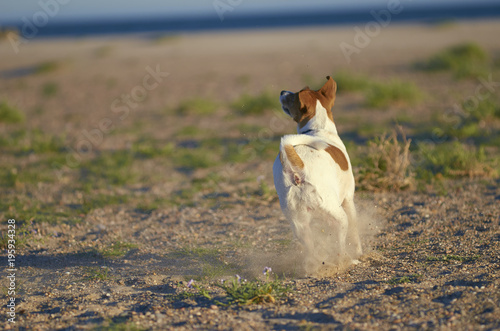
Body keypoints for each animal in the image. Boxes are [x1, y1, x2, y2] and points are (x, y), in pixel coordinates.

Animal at [274, 76, 364, 272]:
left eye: (292, 96)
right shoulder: (348, 200)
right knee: (340, 247)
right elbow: (355, 232)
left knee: (311, 251)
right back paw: (347, 261)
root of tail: (299, 171)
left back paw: (316, 266)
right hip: (338, 215)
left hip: (299, 224)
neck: (318, 130)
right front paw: (359, 252)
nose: (282, 91)